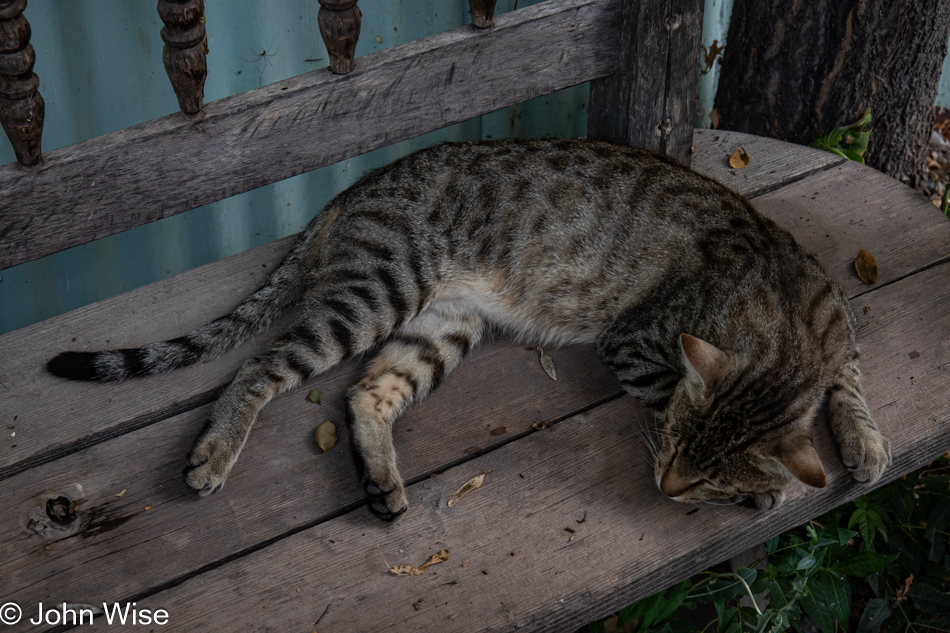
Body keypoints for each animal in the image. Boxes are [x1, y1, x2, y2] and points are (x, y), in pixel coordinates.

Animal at [46, 138, 892, 520]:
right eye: (683, 450)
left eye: (700, 468)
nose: (665, 485)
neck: (778, 311)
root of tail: (356, 187)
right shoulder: (634, 343)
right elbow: (669, 390)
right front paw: (768, 484)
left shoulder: (836, 328)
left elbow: (849, 382)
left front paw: (863, 440)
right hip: (377, 293)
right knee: (258, 367)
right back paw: (216, 451)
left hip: (440, 326)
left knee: (366, 392)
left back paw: (381, 480)